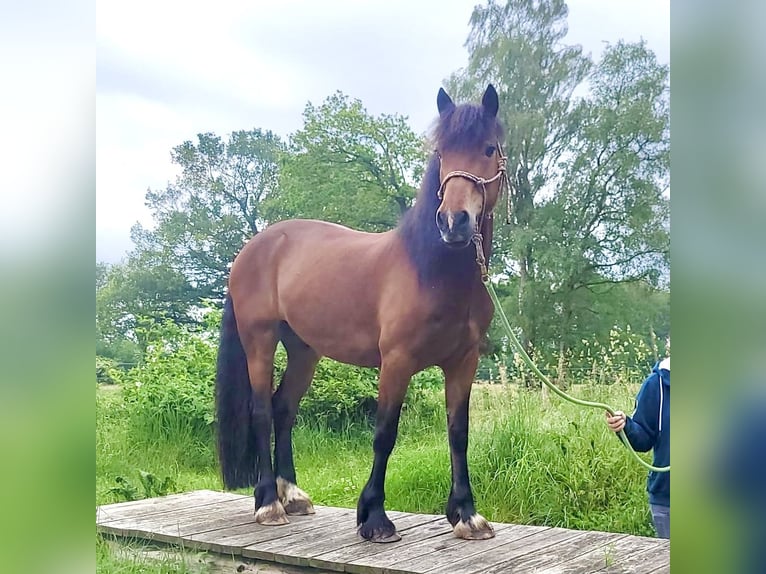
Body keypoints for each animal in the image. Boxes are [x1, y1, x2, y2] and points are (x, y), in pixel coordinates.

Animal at [216, 85, 510, 544]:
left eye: (488, 148)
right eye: (442, 152)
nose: (453, 222)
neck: (433, 272)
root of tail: (254, 247)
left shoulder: (464, 362)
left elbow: (458, 433)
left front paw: (466, 514)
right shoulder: (396, 362)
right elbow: (384, 434)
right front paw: (374, 517)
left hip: (304, 351)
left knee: (284, 409)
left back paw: (292, 494)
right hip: (259, 340)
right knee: (262, 411)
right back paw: (268, 503)